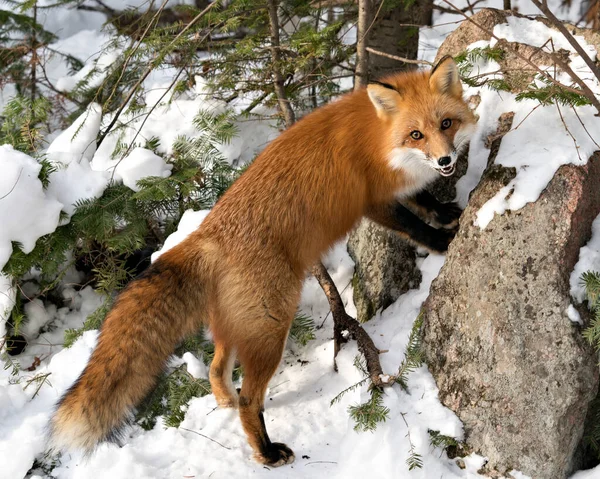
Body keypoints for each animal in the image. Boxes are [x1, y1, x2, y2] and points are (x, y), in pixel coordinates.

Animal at [49, 56, 476, 464]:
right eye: (416, 134)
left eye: (446, 123)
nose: (445, 161)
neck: (377, 137)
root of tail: (207, 235)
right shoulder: (373, 200)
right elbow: (413, 224)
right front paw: (443, 240)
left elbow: (423, 199)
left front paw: (444, 212)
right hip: (271, 327)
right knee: (249, 399)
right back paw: (267, 452)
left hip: (238, 327)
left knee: (216, 369)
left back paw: (224, 401)